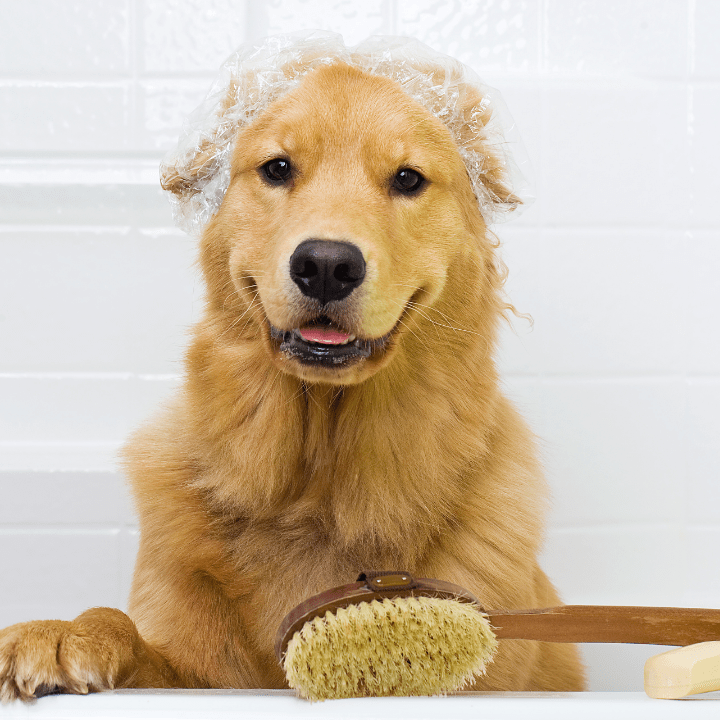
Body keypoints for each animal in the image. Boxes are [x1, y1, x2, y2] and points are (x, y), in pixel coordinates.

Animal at [0, 36, 584, 700]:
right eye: (277, 169)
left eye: (408, 179)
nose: (327, 265)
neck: (318, 489)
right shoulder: (190, 667)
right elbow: (124, 627)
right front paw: (63, 631)